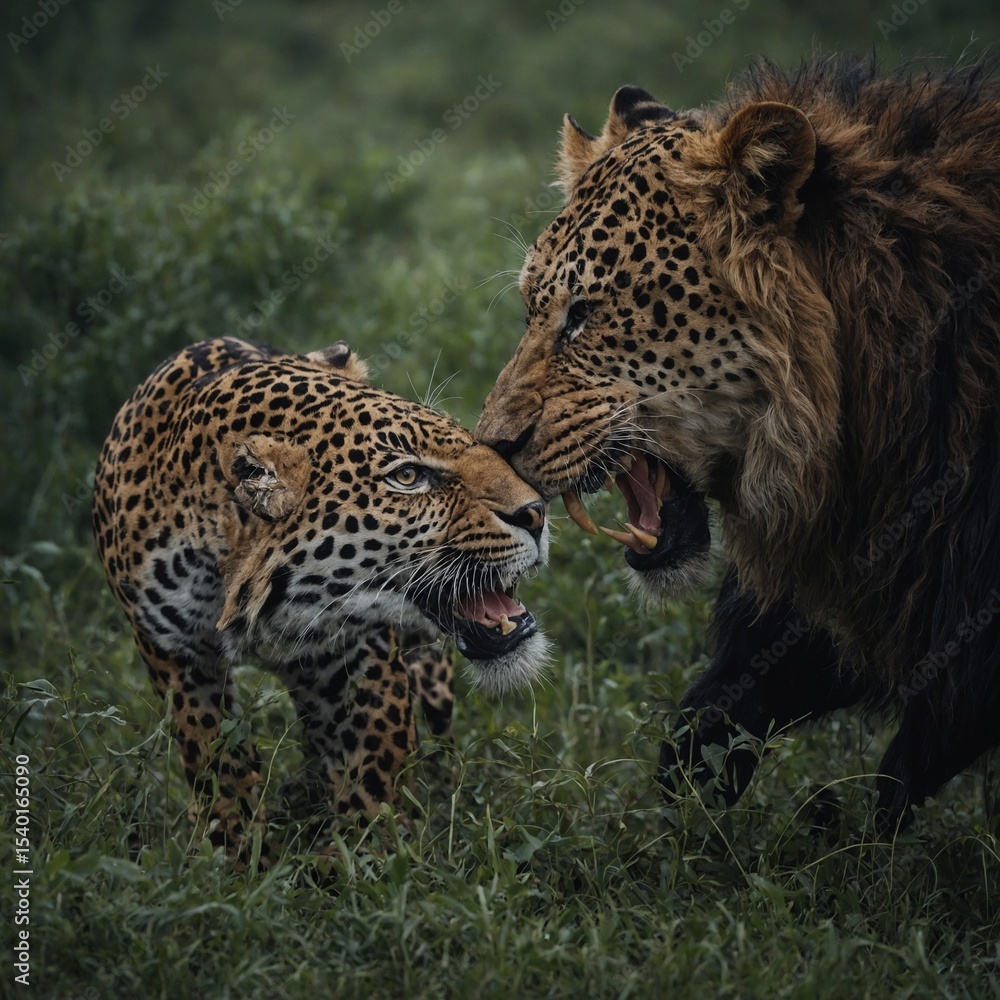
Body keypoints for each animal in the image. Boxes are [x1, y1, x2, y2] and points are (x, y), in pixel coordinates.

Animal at [93, 337, 548, 860]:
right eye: (407, 477)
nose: (537, 512)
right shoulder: (179, 660)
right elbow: (217, 763)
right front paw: (241, 856)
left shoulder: (355, 651)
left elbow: (372, 765)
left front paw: (368, 855)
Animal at [475, 56, 1000, 835]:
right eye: (530, 309)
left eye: (585, 314)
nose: (494, 445)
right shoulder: (875, 554)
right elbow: (729, 698)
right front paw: (688, 817)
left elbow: (907, 765)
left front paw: (864, 841)